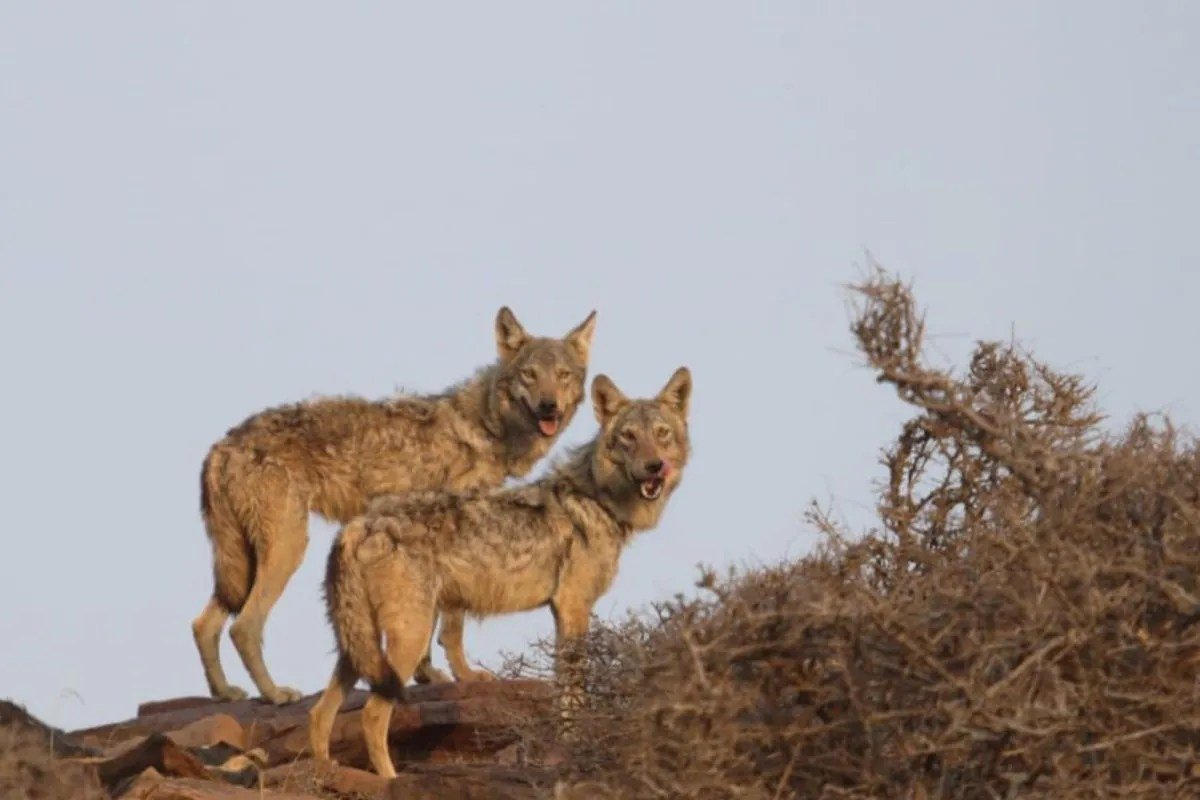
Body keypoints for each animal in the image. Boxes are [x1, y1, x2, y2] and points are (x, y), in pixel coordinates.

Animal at [192, 306, 597, 705]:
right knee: (243, 627)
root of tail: (221, 445)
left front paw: (426, 675)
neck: (487, 427)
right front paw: (462, 675)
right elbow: (451, 625)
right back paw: (275, 694)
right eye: (530, 374)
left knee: (203, 624)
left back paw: (224, 692)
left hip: (245, 563)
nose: (549, 407)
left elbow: (430, 625)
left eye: (563, 375)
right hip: (287, 549)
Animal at [307, 366, 692, 777]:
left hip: (358, 647)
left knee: (319, 714)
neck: (599, 500)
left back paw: (325, 773)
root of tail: (357, 525)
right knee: (371, 716)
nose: (654, 467)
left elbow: (562, 687)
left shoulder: (561, 611)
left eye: (662, 434)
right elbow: (574, 689)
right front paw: (575, 739)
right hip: (407, 639)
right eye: (629, 437)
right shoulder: (574, 607)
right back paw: (390, 779)